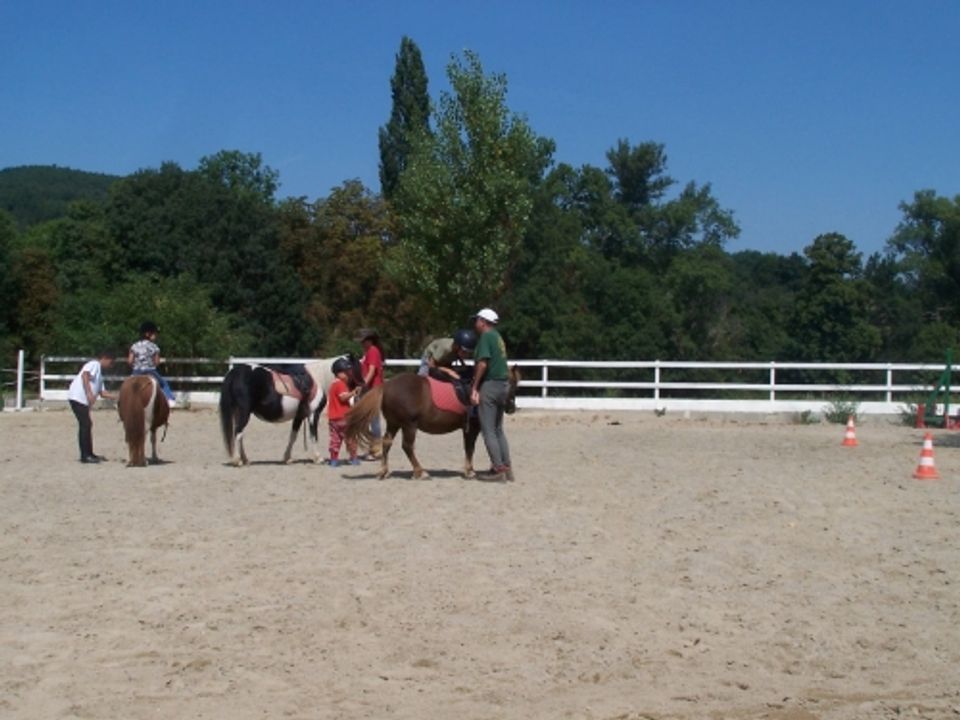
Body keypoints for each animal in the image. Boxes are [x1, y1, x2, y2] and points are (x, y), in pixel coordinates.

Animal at [219, 356, 362, 466]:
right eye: (357, 367)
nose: (362, 386)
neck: (319, 378)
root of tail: (235, 372)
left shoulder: (299, 416)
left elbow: (293, 436)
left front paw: (287, 458)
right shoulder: (313, 414)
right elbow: (313, 435)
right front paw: (318, 458)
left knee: (240, 435)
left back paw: (245, 459)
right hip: (244, 412)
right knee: (238, 433)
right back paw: (238, 460)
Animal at [344, 368, 520, 480]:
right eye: (510, 383)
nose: (511, 408)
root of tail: (387, 385)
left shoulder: (467, 429)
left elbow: (468, 448)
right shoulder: (473, 428)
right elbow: (470, 448)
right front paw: (469, 471)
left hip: (394, 424)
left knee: (387, 443)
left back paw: (384, 471)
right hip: (409, 425)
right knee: (407, 446)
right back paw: (420, 472)